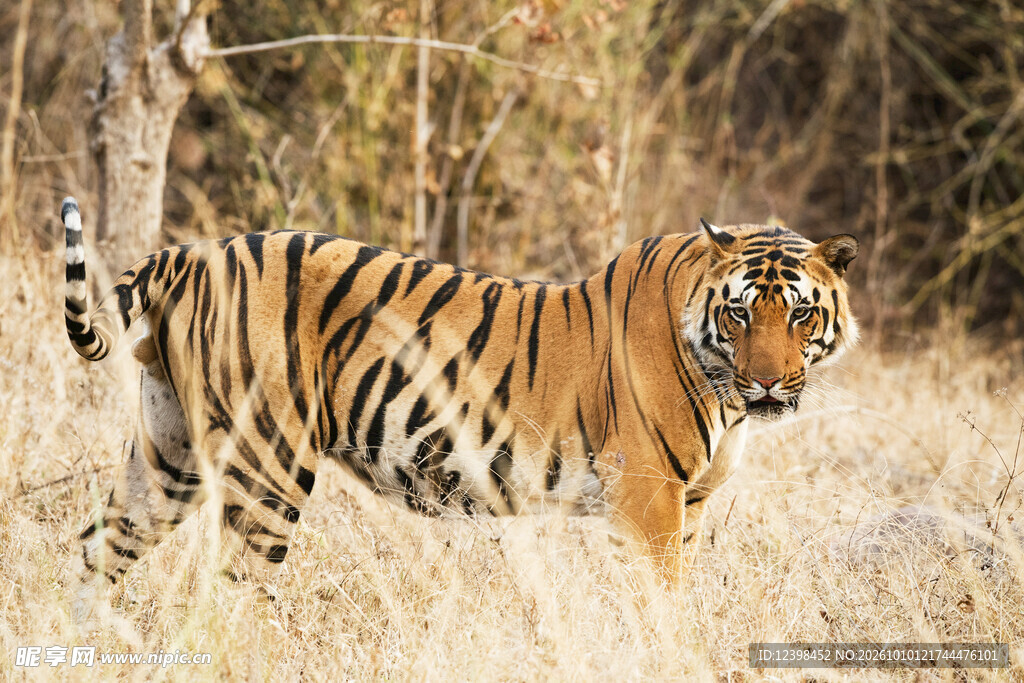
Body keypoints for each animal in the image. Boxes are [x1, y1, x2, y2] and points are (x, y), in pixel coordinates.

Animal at [62, 196, 858, 606]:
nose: (768, 383)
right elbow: (663, 607)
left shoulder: (687, 503)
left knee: (97, 548)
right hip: (269, 467)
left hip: (168, 454)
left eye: (800, 315)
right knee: (229, 594)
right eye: (740, 314)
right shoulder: (649, 496)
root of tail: (191, 253)